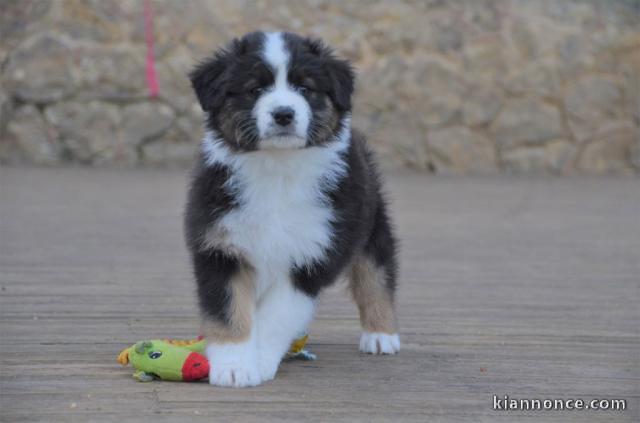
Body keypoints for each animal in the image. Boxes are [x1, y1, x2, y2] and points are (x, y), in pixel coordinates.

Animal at [182, 31, 398, 390]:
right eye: (255, 89)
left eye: (305, 89)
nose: (283, 114)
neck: (278, 167)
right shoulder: (221, 246)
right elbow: (229, 310)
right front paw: (233, 366)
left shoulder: (312, 256)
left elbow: (277, 315)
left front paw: (259, 362)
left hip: (372, 226)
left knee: (375, 276)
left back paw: (381, 336)